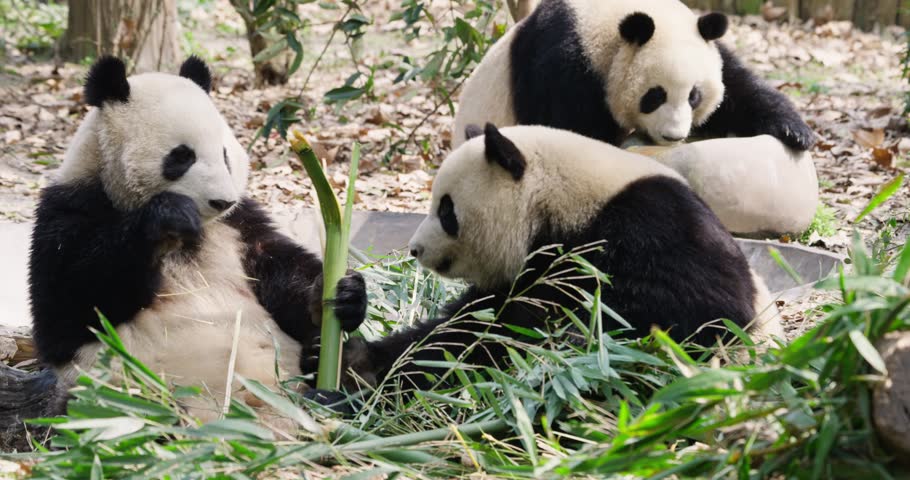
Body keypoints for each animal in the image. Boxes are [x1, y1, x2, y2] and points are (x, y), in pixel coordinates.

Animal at [25, 56, 367, 421]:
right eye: (182, 155)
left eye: (225, 154)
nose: (222, 201)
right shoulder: (69, 210)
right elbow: (71, 304)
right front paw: (167, 216)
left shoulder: (240, 226)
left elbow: (280, 272)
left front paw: (342, 293)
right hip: (126, 389)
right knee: (128, 413)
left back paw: (334, 385)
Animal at [338, 124, 783, 391]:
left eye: (447, 211)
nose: (415, 249)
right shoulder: (521, 275)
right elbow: (464, 330)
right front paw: (353, 327)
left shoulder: (654, 221)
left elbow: (706, 310)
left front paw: (573, 333)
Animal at [452, 0, 814, 150]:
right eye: (655, 95)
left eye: (694, 96)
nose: (673, 136)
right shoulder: (562, 63)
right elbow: (568, 128)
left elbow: (737, 91)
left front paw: (794, 131)